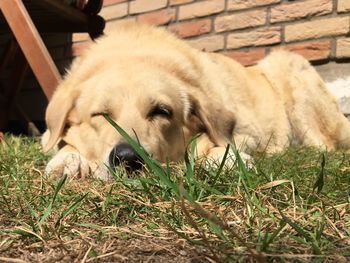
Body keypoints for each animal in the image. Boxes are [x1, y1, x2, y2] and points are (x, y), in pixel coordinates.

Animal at [42, 22, 350, 182]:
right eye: (101, 114)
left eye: (161, 111)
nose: (128, 159)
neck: (135, 51)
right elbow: (60, 142)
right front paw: (66, 160)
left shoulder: (242, 132)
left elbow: (211, 145)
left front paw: (225, 159)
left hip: (288, 68)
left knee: (323, 145)